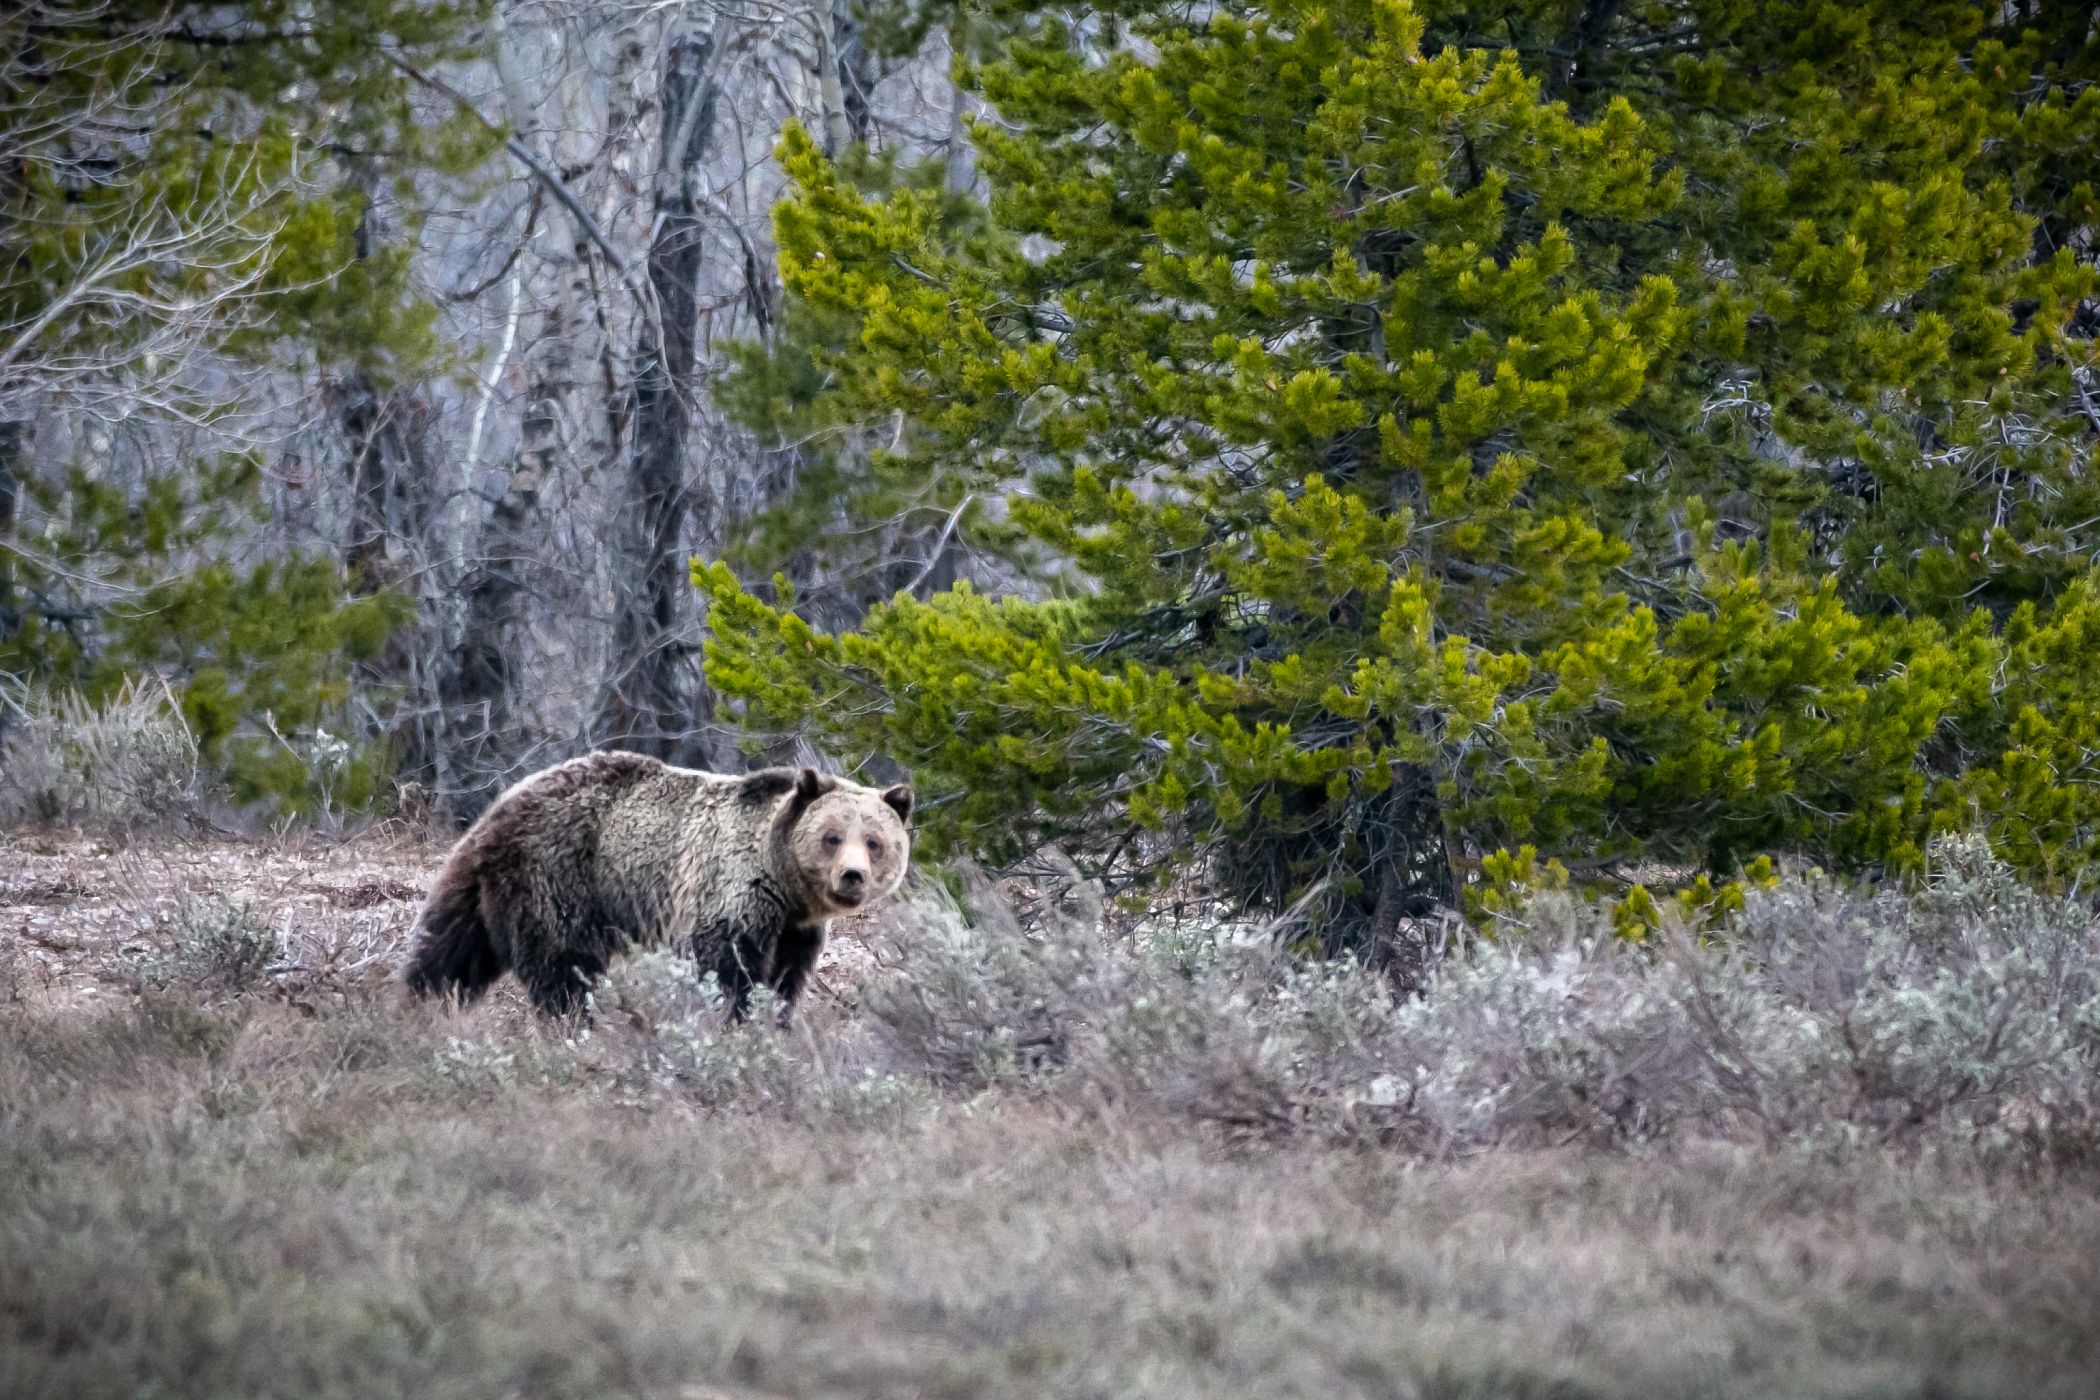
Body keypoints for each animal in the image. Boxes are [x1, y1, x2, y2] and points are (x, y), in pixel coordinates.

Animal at [401, 755, 911, 1020]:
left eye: (874, 842)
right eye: (831, 837)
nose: (852, 875)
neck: (784, 884)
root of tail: (501, 805)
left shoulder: (795, 930)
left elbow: (785, 979)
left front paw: (774, 1020)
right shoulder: (730, 891)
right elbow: (725, 966)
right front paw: (731, 1018)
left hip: (479, 889)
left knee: (449, 950)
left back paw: (420, 1006)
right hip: (557, 875)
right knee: (563, 966)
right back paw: (577, 1022)